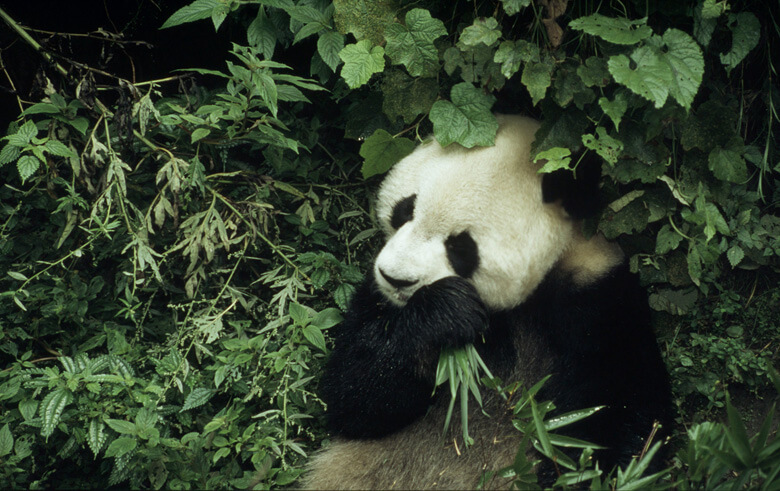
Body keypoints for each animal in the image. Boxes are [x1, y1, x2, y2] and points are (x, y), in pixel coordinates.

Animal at [304, 114, 672, 488]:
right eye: (404, 210)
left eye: (461, 246)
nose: (395, 278)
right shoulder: (377, 297)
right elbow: (355, 395)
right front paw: (445, 314)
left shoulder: (598, 297)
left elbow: (622, 414)